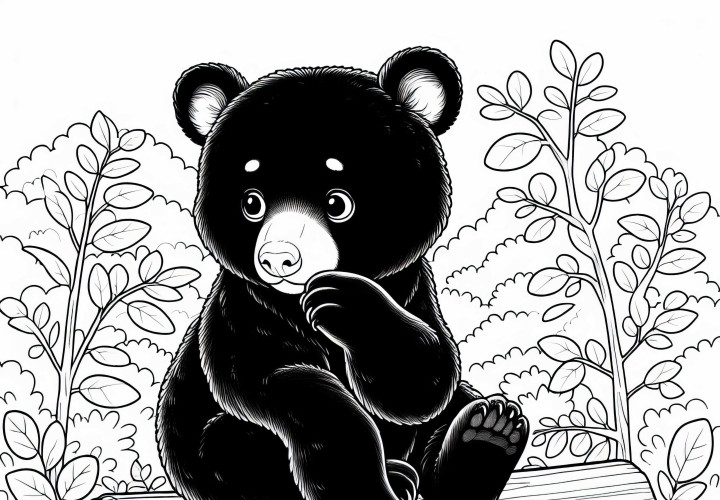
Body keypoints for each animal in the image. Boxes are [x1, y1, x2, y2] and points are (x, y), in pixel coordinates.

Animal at [157, 47, 529, 500]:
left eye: (338, 202)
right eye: (251, 203)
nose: (279, 258)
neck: (294, 298)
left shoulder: (411, 288)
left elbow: (422, 378)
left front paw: (348, 306)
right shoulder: (245, 306)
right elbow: (277, 379)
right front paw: (357, 482)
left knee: (452, 409)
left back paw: (486, 435)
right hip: (210, 449)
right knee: (237, 447)